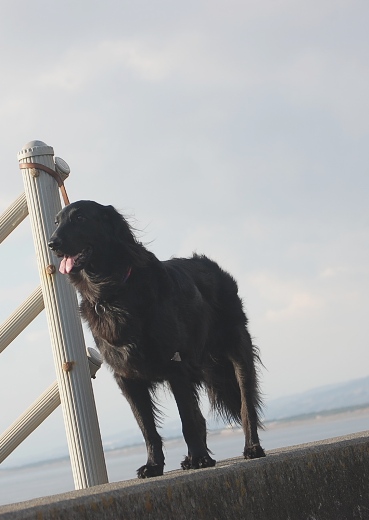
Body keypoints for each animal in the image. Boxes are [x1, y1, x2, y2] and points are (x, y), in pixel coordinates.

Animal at [48, 201, 264, 478]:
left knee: (246, 404)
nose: (52, 244)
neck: (112, 291)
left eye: (80, 218)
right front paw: (154, 465)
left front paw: (198, 459)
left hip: (237, 350)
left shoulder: (175, 365)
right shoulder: (126, 377)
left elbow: (187, 421)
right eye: (56, 222)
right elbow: (147, 428)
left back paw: (251, 447)